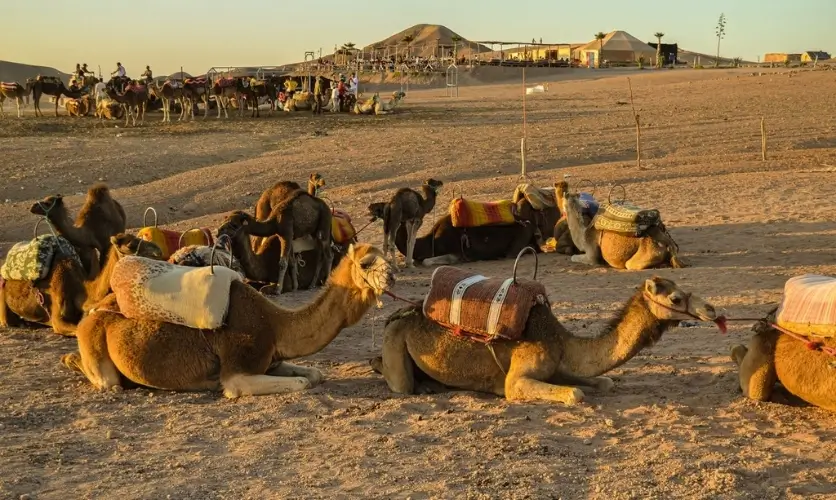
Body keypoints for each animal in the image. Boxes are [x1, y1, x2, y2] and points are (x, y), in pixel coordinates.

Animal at [61, 243, 395, 397]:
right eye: (366, 262)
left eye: (385, 256)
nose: (391, 275)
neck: (276, 325)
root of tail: (91, 313)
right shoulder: (238, 369)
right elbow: (301, 383)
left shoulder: (270, 360)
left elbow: (314, 374)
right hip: (98, 348)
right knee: (107, 382)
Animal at [372, 276, 722, 403]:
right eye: (676, 298)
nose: (712, 310)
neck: (561, 340)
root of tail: (398, 314)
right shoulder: (517, 380)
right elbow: (575, 394)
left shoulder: (557, 365)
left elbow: (603, 382)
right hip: (394, 340)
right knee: (399, 381)